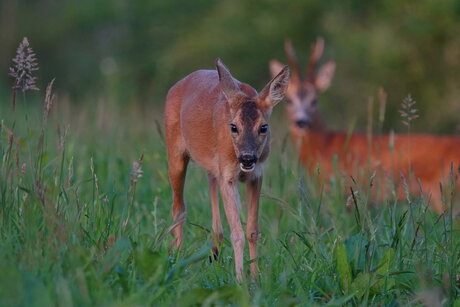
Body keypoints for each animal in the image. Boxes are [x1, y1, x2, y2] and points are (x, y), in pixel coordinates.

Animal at [164, 57, 290, 282]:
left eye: (264, 127)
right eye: (233, 127)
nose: (247, 157)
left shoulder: (256, 175)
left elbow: (252, 230)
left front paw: (255, 277)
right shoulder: (228, 175)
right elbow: (237, 232)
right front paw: (240, 279)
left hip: (213, 169)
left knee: (212, 204)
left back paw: (214, 253)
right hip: (175, 153)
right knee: (178, 207)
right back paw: (176, 259)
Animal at [270, 38, 460, 212]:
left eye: (314, 100)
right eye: (288, 100)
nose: (301, 122)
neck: (325, 146)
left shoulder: (340, 191)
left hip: (443, 193)